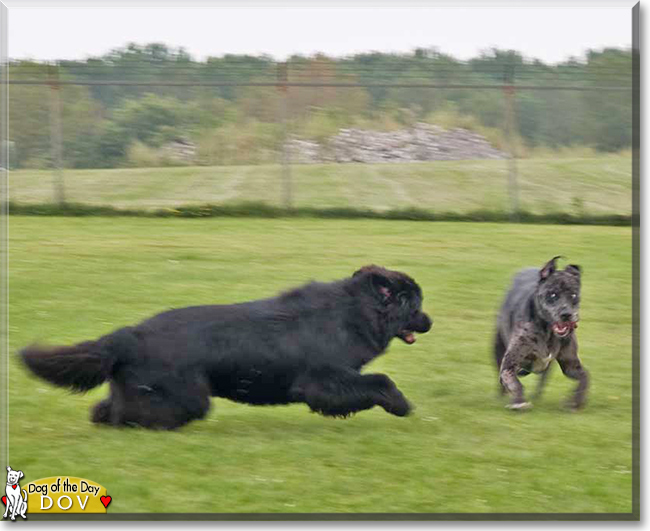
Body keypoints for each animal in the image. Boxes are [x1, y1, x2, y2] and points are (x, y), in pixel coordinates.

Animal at [21, 264, 430, 430]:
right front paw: (401, 405)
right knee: (135, 415)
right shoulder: (325, 379)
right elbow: (379, 381)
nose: (430, 321)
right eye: (414, 304)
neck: (353, 312)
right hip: (184, 396)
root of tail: (128, 335)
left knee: (107, 408)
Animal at [492, 258, 588, 412]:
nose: (566, 314)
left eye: (574, 295)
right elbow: (514, 382)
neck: (548, 331)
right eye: (553, 294)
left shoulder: (571, 366)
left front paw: (576, 402)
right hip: (497, 346)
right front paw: (519, 402)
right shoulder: (509, 364)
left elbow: (585, 377)